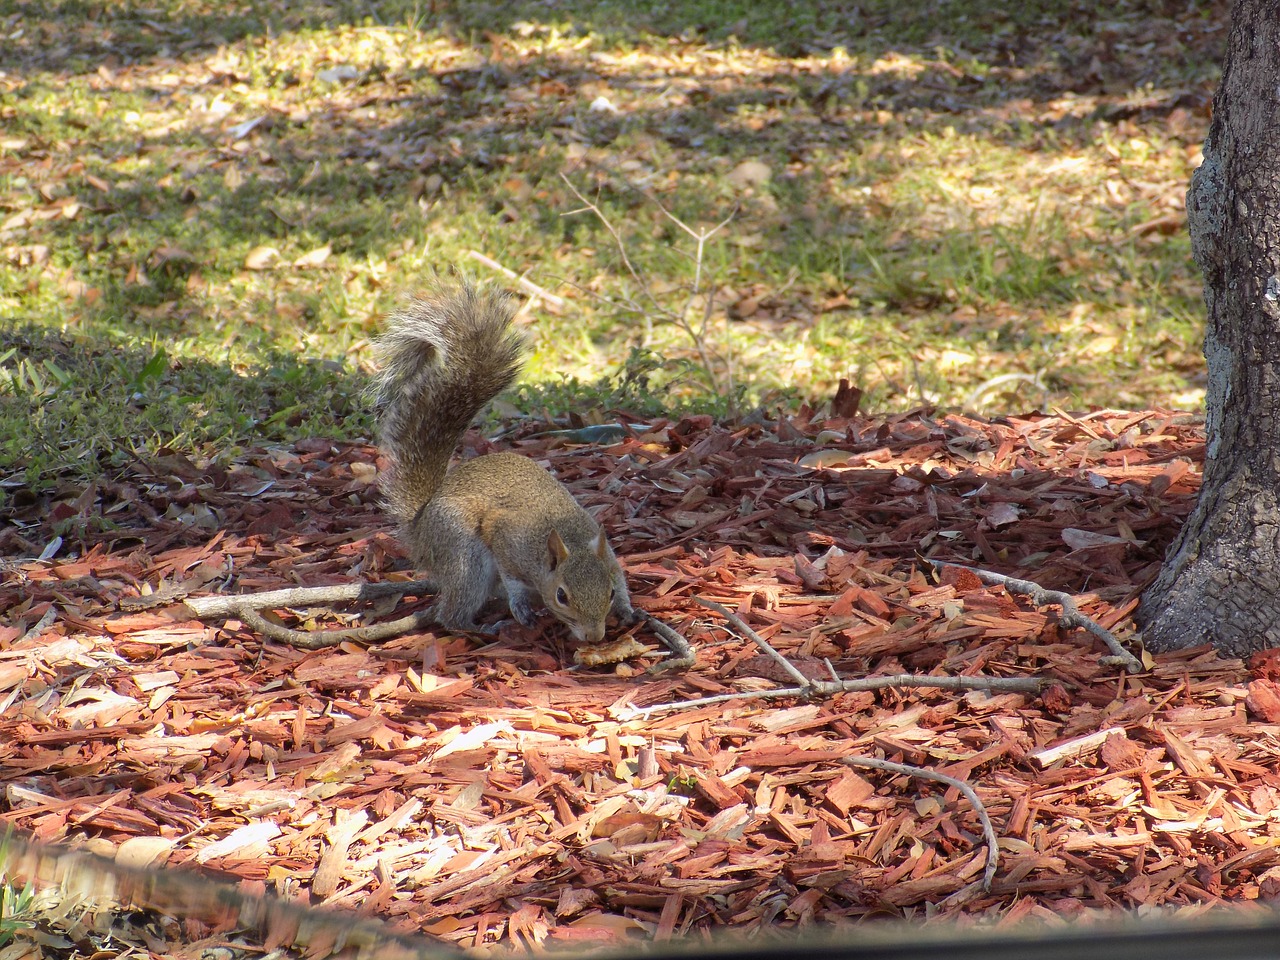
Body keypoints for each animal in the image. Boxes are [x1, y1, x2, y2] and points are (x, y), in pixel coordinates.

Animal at [371, 281, 634, 650]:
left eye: (608, 592)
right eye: (562, 596)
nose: (594, 637)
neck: (564, 538)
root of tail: (420, 527)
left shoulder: (608, 558)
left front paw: (627, 607)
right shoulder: (506, 540)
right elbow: (512, 581)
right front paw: (521, 607)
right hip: (465, 557)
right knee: (451, 612)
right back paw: (480, 628)